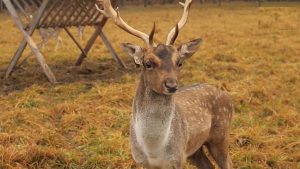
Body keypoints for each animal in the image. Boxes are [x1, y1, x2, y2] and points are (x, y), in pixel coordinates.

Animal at [96, 0, 234, 168]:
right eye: (148, 63)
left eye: (179, 62)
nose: (172, 85)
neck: (153, 150)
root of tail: (226, 95)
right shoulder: (140, 160)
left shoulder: (176, 158)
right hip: (195, 148)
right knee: (208, 165)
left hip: (221, 134)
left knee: (228, 162)